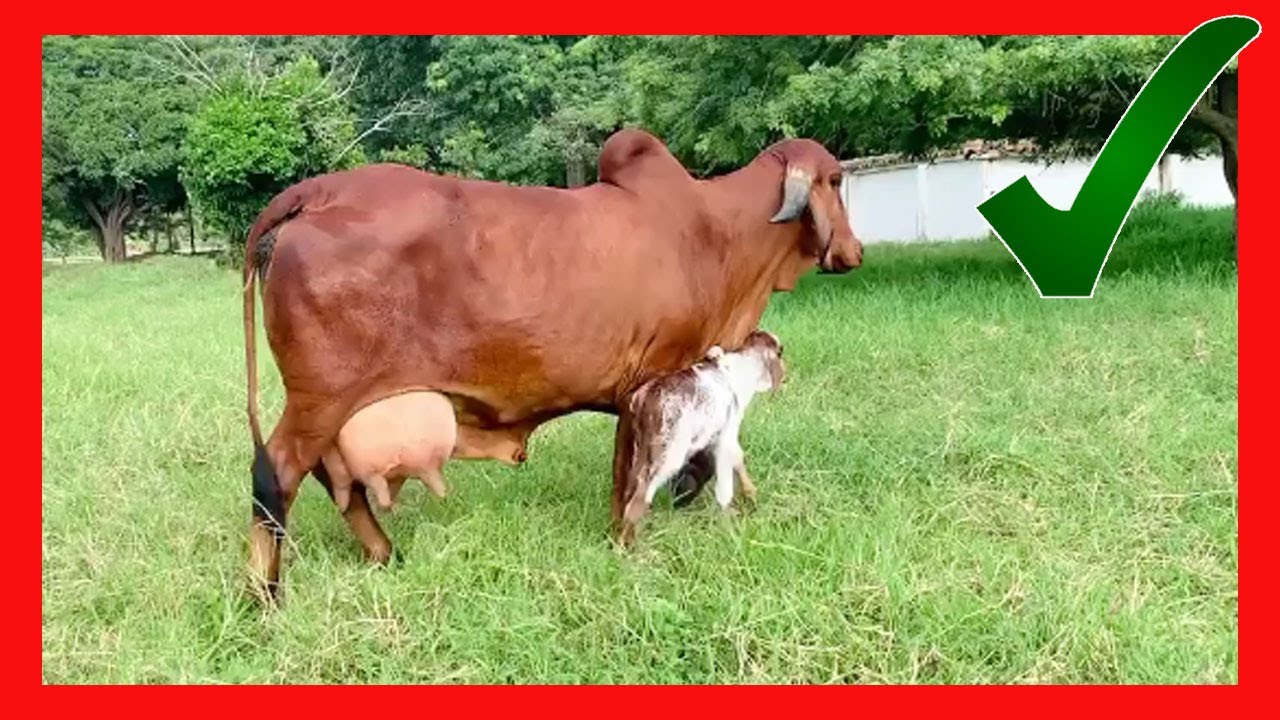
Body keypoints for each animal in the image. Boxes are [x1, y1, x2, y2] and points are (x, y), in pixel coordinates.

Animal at [243, 128, 862, 599]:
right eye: (836, 180)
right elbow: (637, 472)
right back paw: (265, 596)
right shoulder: (651, 381)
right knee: (276, 476)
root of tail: (317, 191)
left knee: (334, 480)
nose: (854, 252)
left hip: (331, 407)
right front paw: (627, 538)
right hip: (320, 399)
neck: (717, 233)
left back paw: (382, 553)